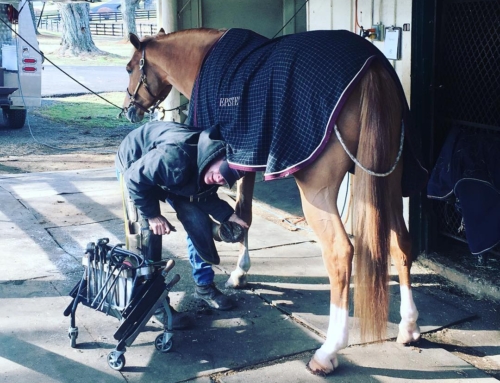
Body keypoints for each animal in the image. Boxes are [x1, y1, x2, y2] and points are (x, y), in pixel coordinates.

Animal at [121, 28, 422, 376]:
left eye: (130, 68)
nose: (128, 109)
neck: (202, 58)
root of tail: (372, 65)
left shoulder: (236, 158)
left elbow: (231, 213)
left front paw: (235, 271)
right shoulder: (245, 159)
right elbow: (244, 215)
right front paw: (239, 267)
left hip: (318, 193)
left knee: (340, 252)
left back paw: (328, 352)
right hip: (388, 182)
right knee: (401, 243)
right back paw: (409, 327)